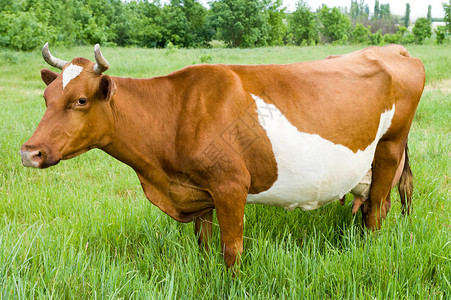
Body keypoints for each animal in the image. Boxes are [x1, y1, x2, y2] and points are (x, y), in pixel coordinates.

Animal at [19, 42, 426, 268]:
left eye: (81, 100)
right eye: (46, 97)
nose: (30, 152)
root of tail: (394, 50)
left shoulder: (230, 185)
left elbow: (231, 251)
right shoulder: (199, 192)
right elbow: (204, 245)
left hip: (390, 148)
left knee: (375, 212)